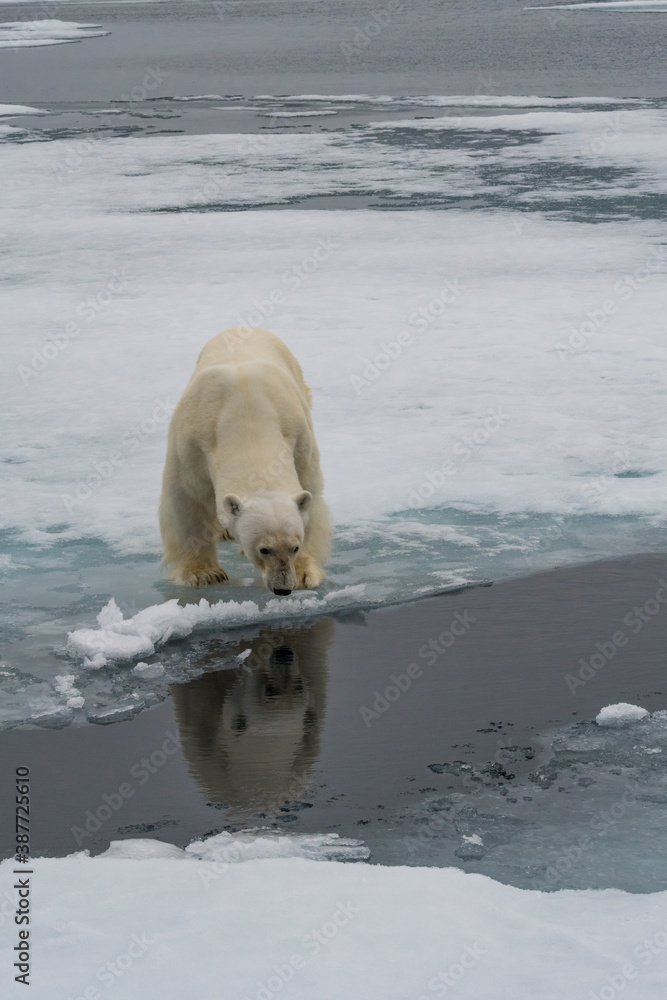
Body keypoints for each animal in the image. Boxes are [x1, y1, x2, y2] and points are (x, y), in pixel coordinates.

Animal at [159, 326, 331, 594]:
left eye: (294, 546)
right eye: (264, 549)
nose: (282, 588)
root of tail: (243, 327)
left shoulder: (299, 436)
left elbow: (310, 495)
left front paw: (304, 574)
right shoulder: (193, 442)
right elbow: (188, 498)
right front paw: (204, 574)